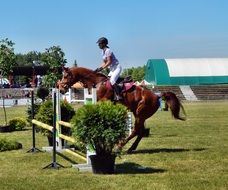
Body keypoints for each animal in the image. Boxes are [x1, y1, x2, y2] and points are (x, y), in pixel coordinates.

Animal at [57, 67, 185, 153]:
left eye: (65, 76)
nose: (61, 89)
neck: (96, 82)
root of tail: (156, 96)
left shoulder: (103, 101)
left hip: (140, 114)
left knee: (136, 130)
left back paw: (120, 146)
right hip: (138, 114)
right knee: (141, 131)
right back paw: (131, 148)